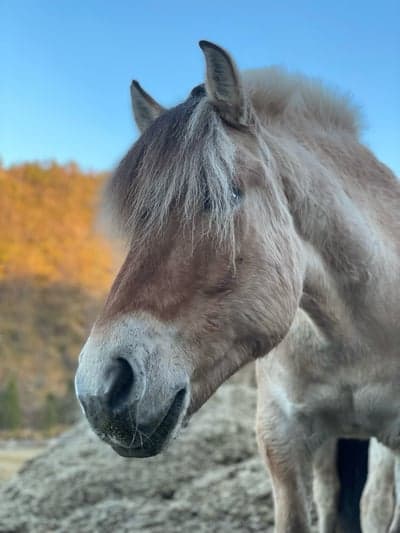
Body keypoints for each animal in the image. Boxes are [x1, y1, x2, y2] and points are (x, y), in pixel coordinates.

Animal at [74, 41, 396, 532]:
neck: (349, 334)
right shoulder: (279, 437)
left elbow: (377, 507)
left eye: (226, 194)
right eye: (139, 220)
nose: (101, 387)